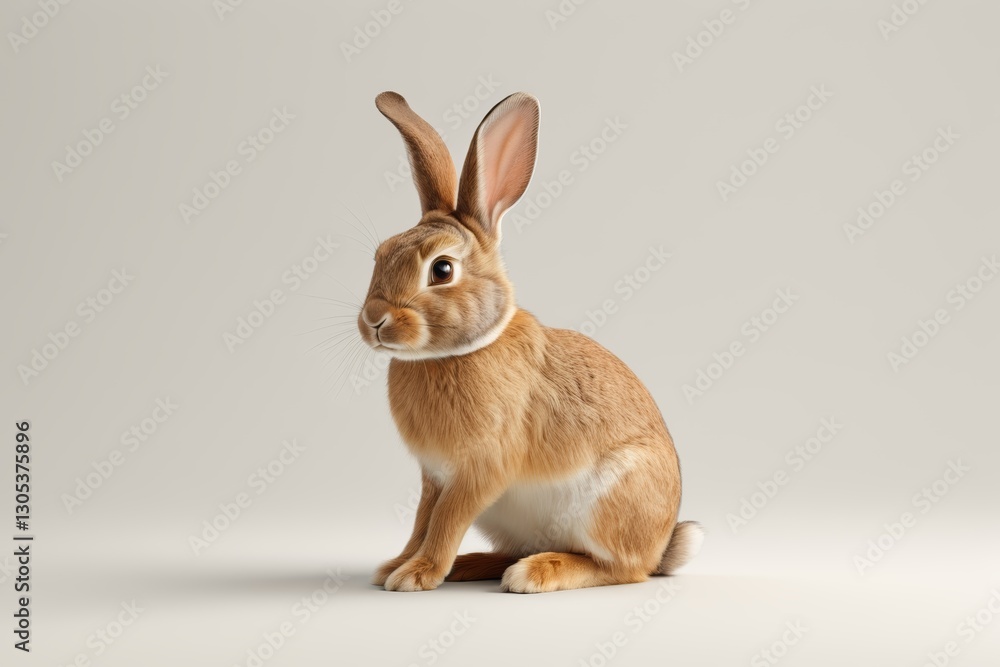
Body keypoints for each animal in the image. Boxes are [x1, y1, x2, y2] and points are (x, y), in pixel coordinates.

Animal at [359, 91, 702, 593]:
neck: (457, 353)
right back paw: (474, 566)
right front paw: (397, 565)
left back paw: (536, 572)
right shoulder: (434, 477)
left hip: (609, 501)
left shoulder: (480, 470)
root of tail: (661, 546)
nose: (373, 321)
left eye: (441, 270)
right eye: (381, 254)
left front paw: (417, 575)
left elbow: (445, 521)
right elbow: (424, 520)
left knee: (620, 569)